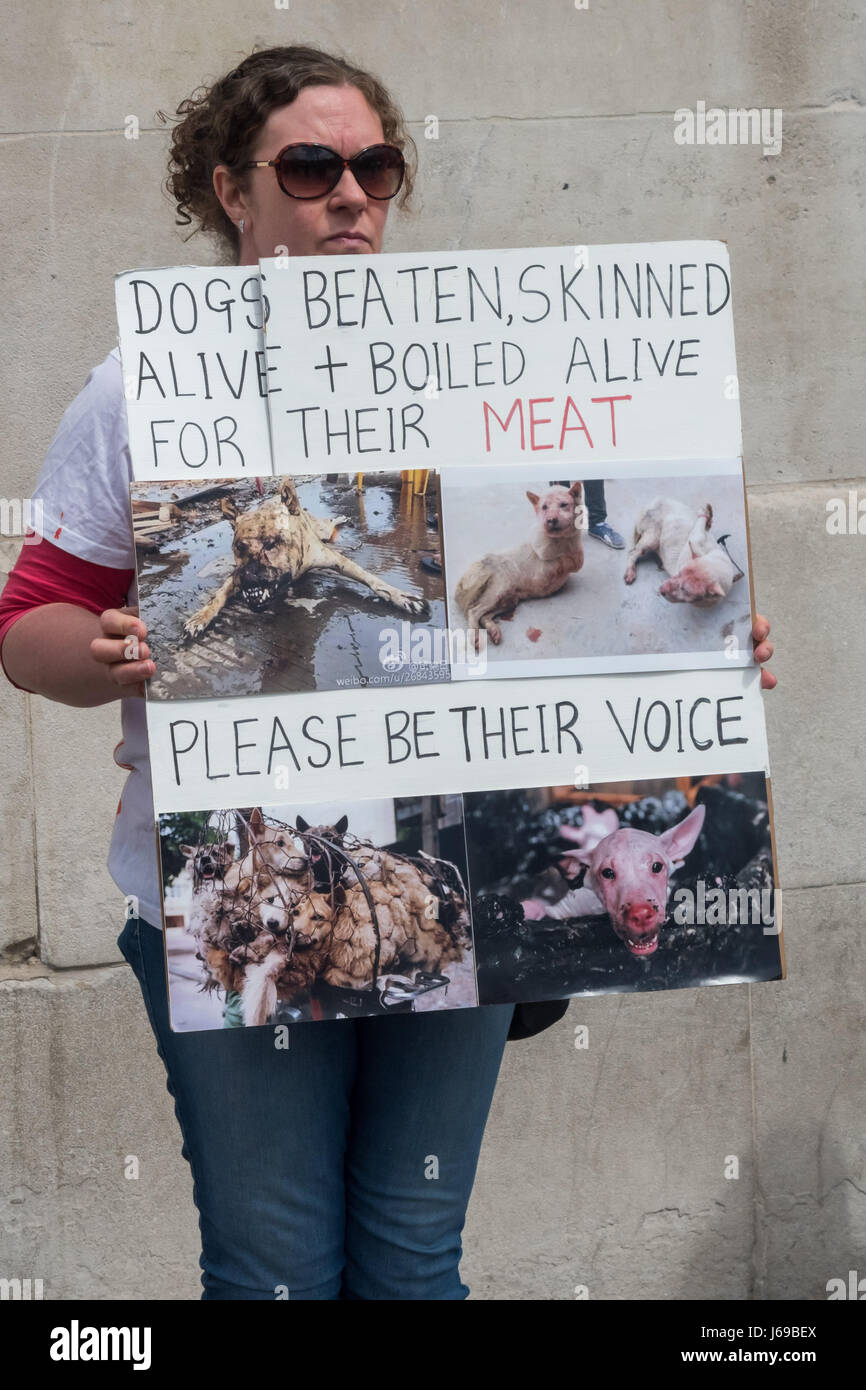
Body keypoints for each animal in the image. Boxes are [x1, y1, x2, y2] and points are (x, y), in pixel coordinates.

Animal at [184, 472, 428, 636]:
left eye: (272, 544)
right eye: (238, 548)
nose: (248, 575)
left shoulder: (338, 561)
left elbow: (371, 578)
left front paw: (401, 596)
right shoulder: (234, 576)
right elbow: (218, 596)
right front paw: (201, 616)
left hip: (323, 530)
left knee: (329, 523)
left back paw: (339, 518)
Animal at [453, 480, 589, 647]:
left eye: (564, 505)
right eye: (544, 507)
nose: (550, 520)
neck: (562, 540)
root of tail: (461, 583)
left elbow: (577, 558)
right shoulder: (543, 566)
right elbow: (564, 559)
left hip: (509, 600)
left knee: (484, 616)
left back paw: (493, 630)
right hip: (502, 584)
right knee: (473, 611)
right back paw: (476, 636)